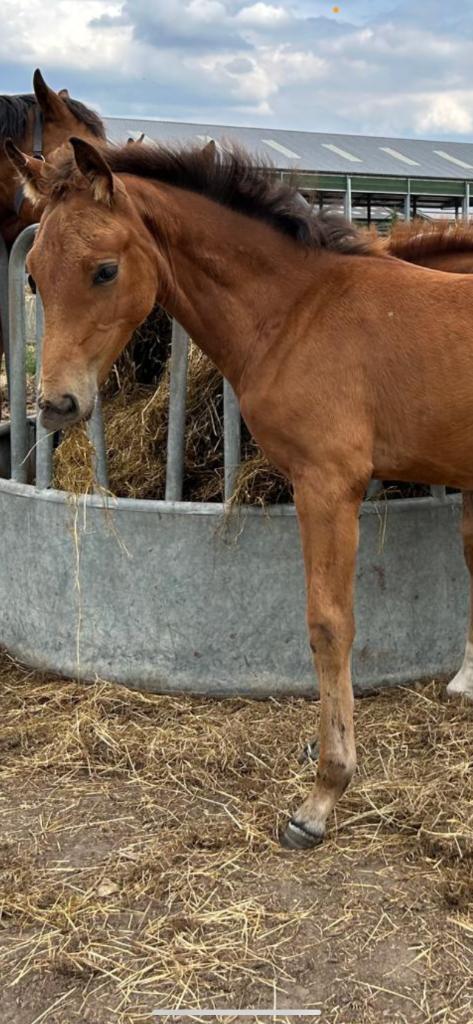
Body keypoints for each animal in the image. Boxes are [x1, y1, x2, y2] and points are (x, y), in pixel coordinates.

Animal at [6, 135, 473, 852]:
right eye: (31, 275)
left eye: (105, 271)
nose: (57, 406)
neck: (300, 311)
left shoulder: (328, 484)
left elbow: (329, 625)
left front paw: (322, 796)